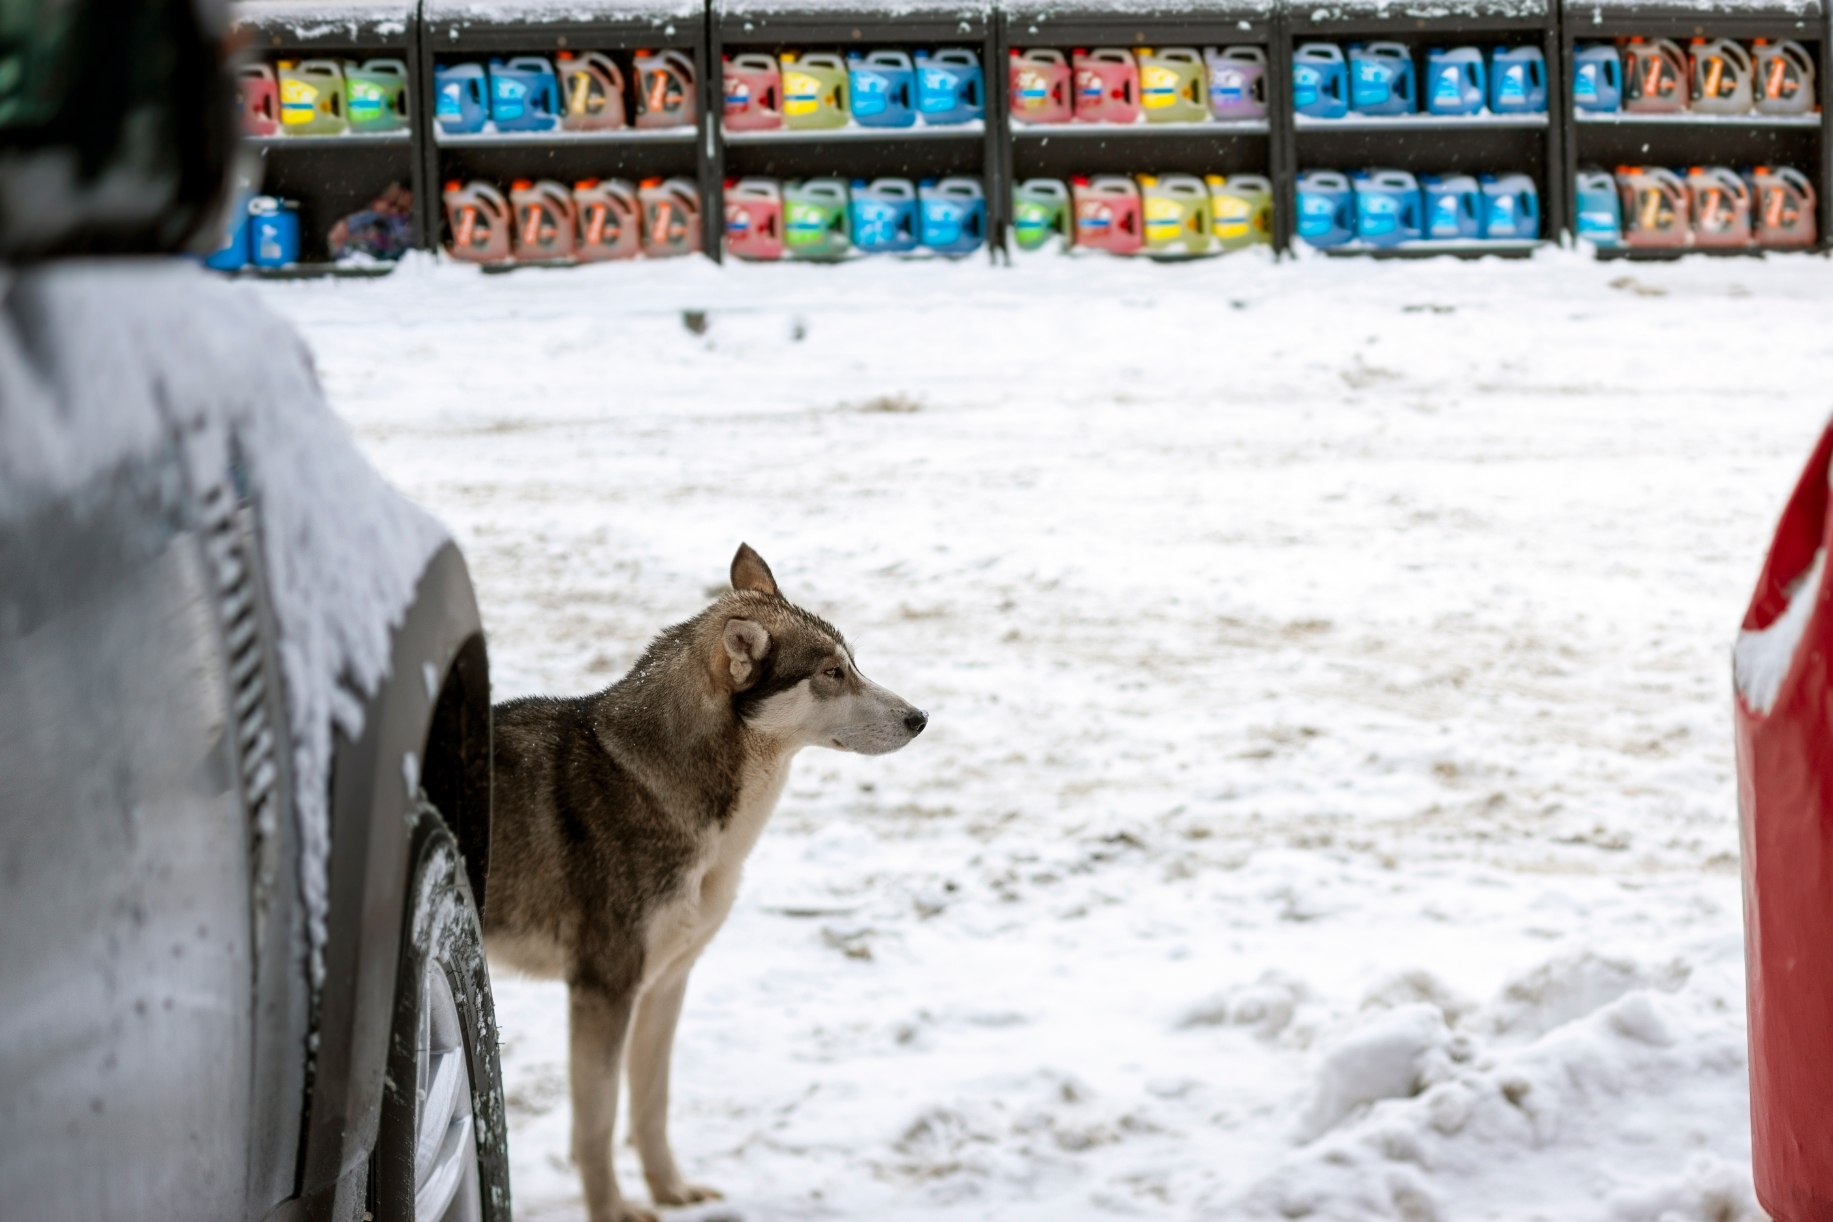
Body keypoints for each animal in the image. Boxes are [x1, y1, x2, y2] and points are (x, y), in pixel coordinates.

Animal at [483, 545, 923, 1222]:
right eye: (831, 673)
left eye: (852, 664)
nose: (920, 717)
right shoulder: (603, 991)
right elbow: (597, 1123)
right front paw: (612, 1210)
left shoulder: (666, 983)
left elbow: (651, 1106)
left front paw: (672, 1192)